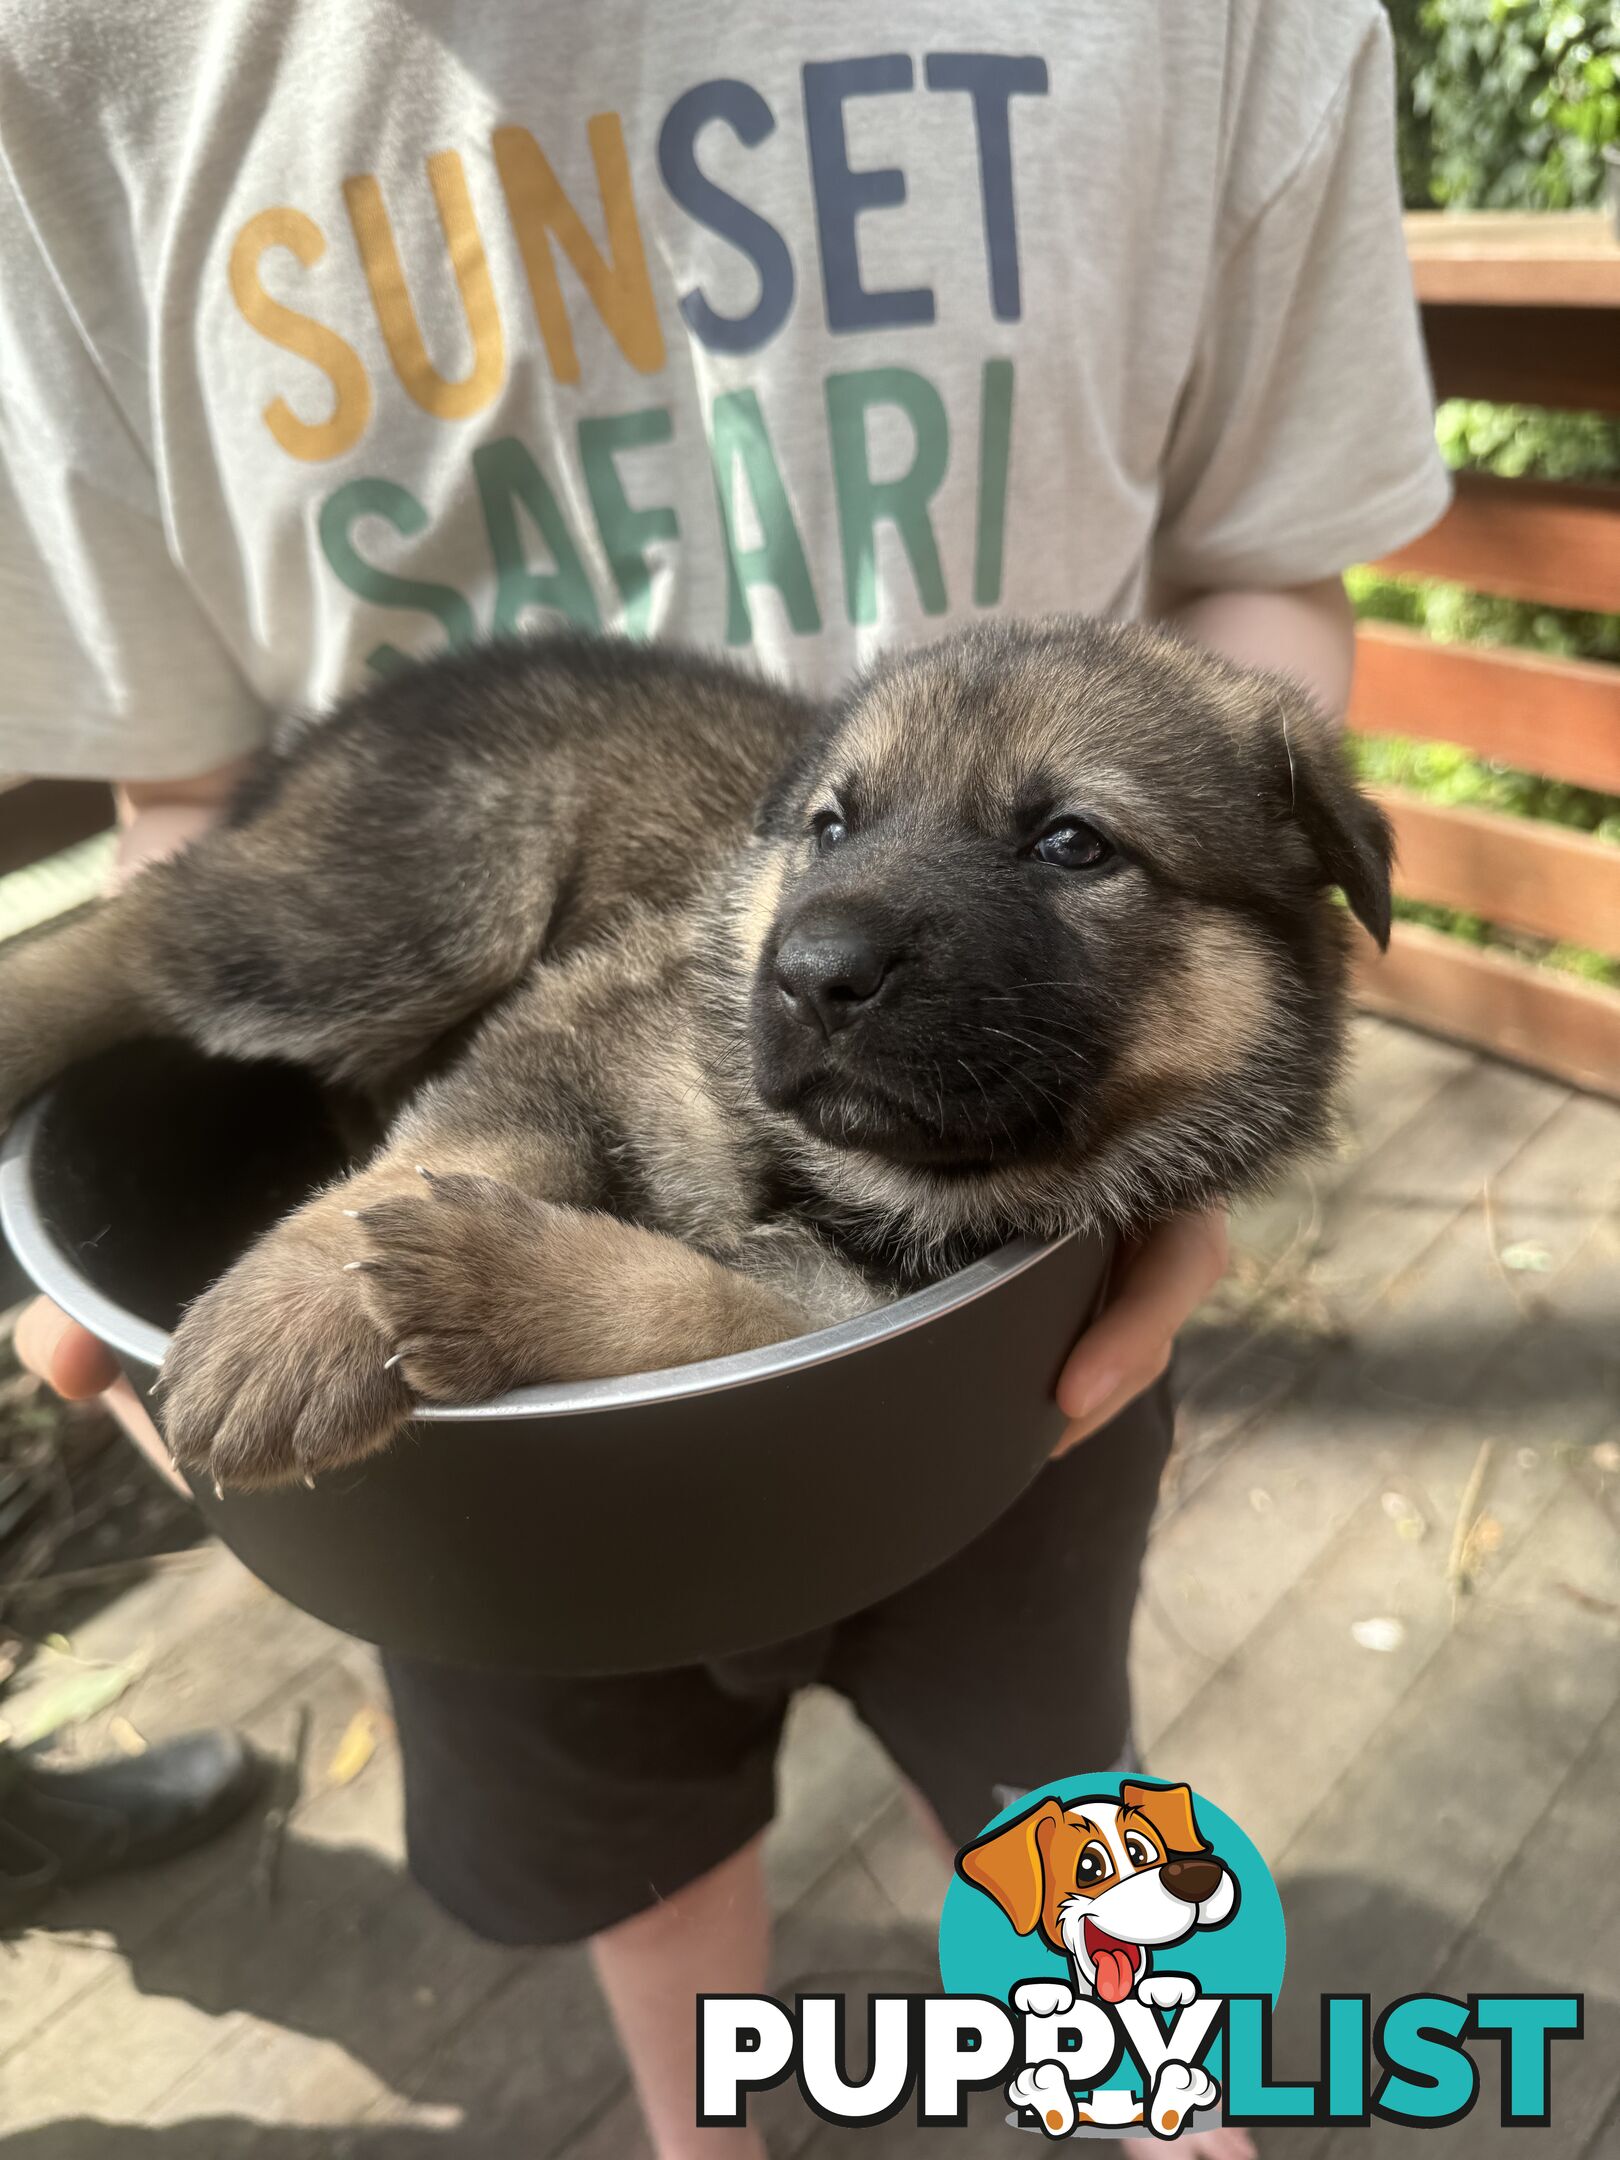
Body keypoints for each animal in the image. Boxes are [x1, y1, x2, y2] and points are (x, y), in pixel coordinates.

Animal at [0, 626, 1399, 1486]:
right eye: (832, 826)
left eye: (1072, 844)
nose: (811, 971)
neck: (841, 1178)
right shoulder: (567, 1028)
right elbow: (429, 1161)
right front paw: (293, 1320)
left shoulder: (841, 1315)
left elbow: (702, 1303)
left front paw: (495, 1285)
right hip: (420, 903)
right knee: (141, 930)